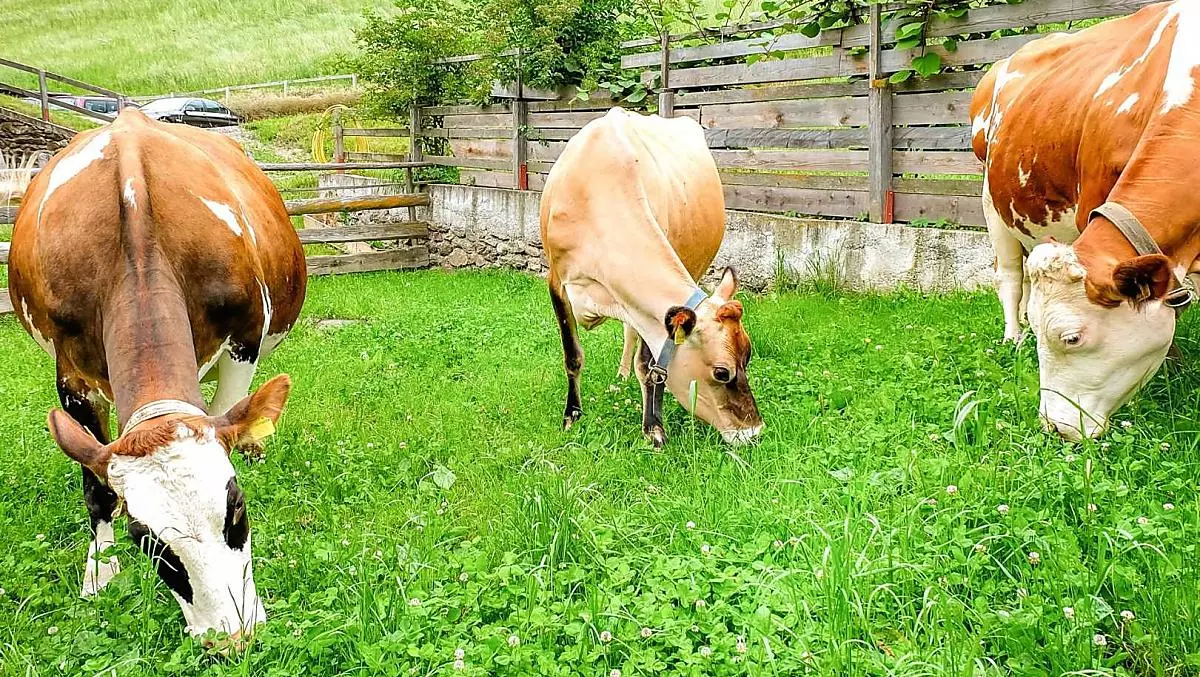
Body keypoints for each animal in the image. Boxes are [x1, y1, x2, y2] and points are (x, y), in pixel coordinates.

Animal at [8, 107, 307, 641]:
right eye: (144, 539)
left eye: (237, 508)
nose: (231, 639)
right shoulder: (71, 375)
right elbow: (97, 488)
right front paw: (100, 573)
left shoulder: (244, 343)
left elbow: (231, 415)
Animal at [540, 107, 763, 447]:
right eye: (722, 372)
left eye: (748, 357)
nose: (753, 431)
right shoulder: (557, 282)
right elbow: (573, 356)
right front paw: (572, 415)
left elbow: (649, 365)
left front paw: (653, 427)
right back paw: (620, 376)